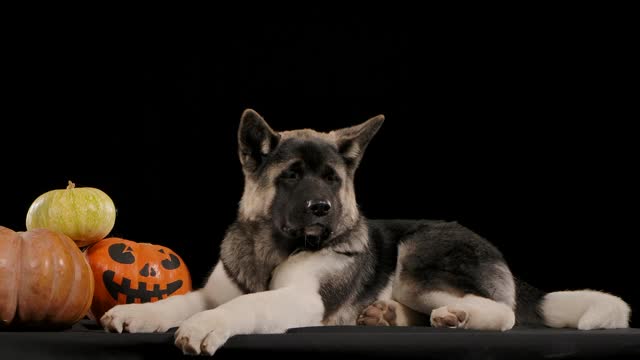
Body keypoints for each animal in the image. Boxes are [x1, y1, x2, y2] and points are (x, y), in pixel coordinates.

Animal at [101, 108, 632, 356]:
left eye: (332, 179)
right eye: (291, 175)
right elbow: (181, 300)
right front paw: (139, 313)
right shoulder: (215, 290)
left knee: (503, 313)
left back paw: (456, 316)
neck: (272, 246)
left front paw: (205, 327)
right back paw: (387, 315)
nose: (321, 208)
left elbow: (243, 307)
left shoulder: (302, 300)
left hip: (420, 257)